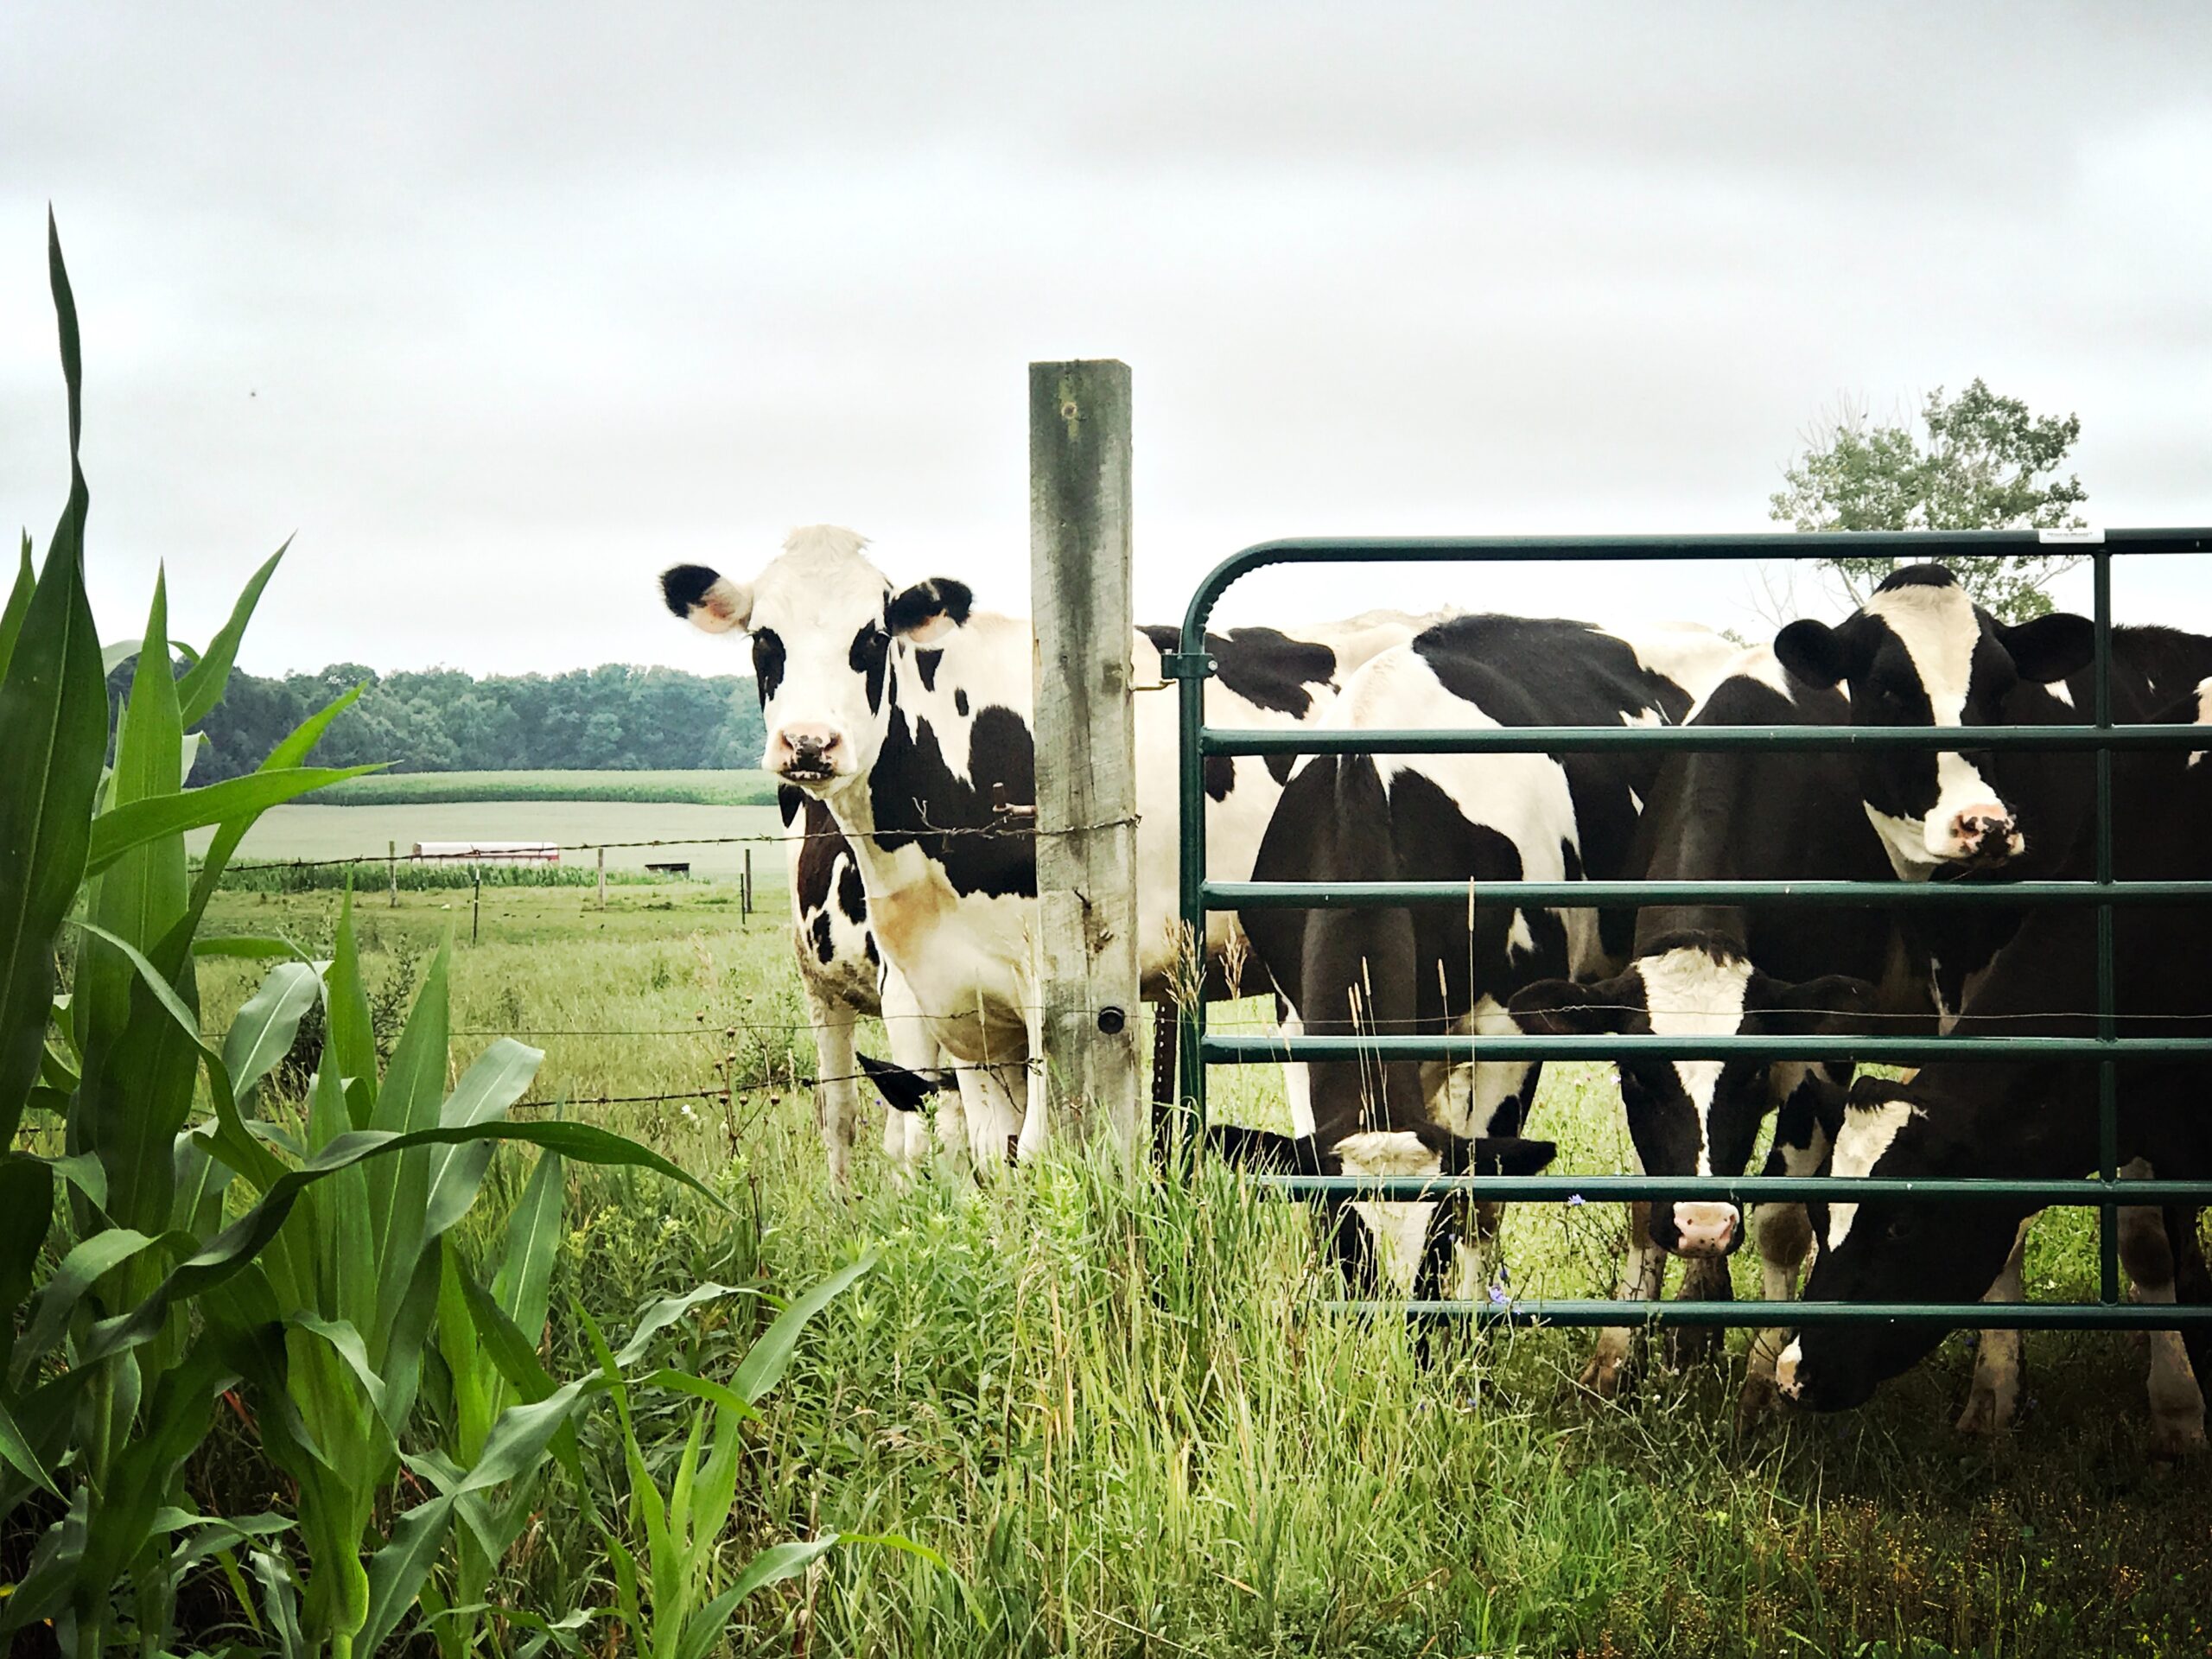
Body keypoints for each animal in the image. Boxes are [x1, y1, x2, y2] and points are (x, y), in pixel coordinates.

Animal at [658, 526, 1433, 1176]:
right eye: (765, 639)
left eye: (872, 638)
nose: (811, 743)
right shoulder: (948, 993)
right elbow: (975, 1148)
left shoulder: (1050, 989)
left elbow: (1034, 1146)